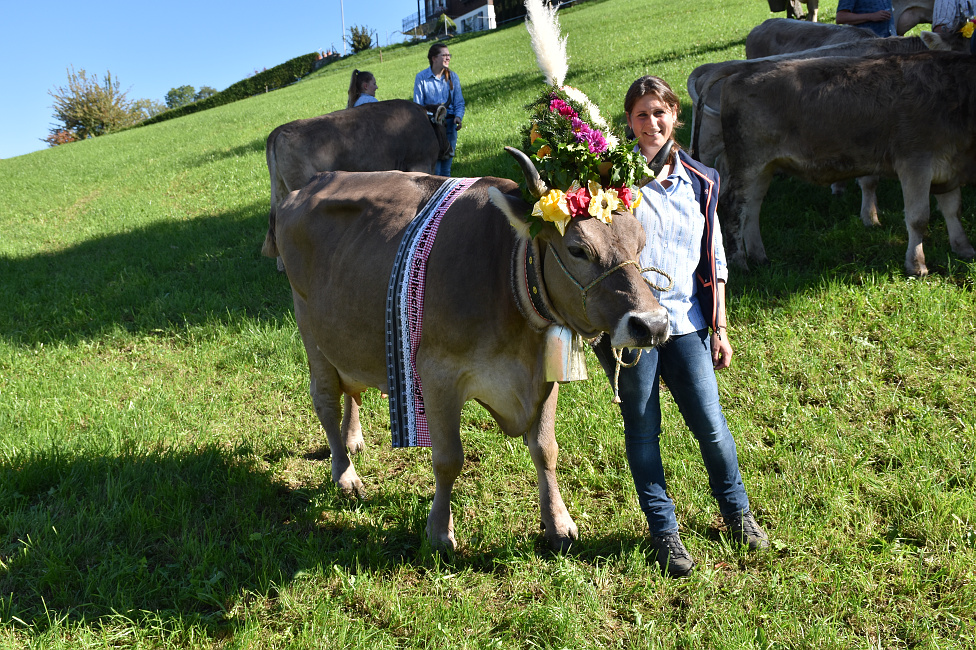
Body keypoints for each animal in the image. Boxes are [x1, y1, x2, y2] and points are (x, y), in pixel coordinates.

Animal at [260, 148, 672, 552]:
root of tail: (307, 186)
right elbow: (448, 460)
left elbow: (545, 450)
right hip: (311, 332)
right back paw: (345, 474)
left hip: (348, 335)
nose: (652, 324)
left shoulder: (543, 372)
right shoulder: (437, 374)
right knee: (325, 399)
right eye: (577, 249)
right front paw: (440, 532)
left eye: (641, 242)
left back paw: (352, 439)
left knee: (353, 388)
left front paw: (558, 524)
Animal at [712, 49, 976, 274]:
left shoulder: (947, 166)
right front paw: (917, 264)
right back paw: (739, 262)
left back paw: (759, 257)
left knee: (752, 207)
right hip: (746, 163)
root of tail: (740, 73)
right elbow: (918, 217)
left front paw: (964, 248)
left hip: (764, 167)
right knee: (734, 206)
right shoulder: (915, 162)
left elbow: (953, 210)